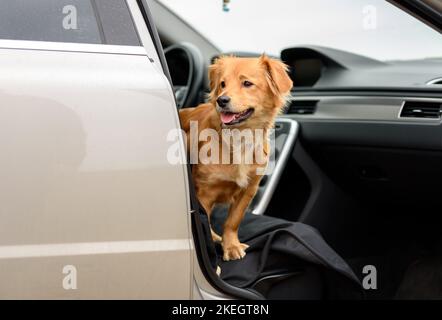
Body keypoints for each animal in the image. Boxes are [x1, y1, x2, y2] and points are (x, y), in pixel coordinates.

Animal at [178, 54, 292, 260]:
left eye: (247, 83)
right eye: (223, 84)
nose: (221, 100)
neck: (239, 137)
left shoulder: (249, 190)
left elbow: (233, 221)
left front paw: (230, 245)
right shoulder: (204, 192)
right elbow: (204, 222)